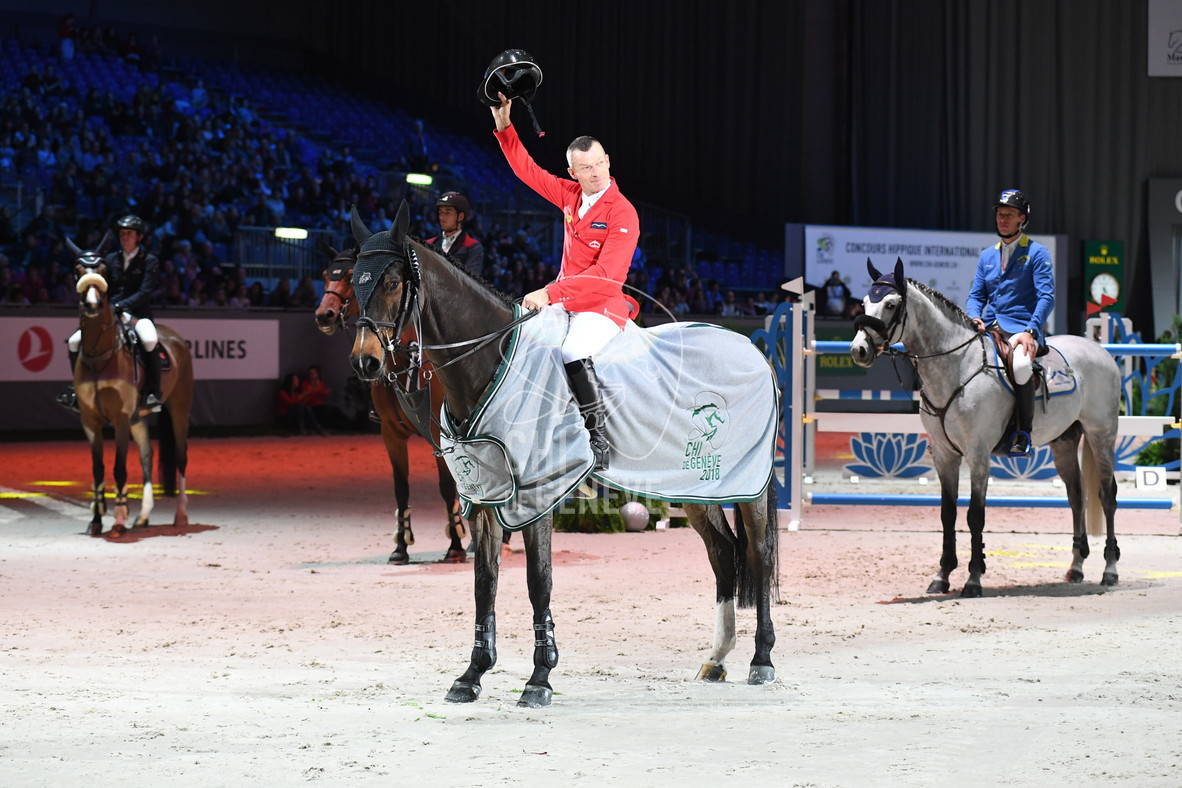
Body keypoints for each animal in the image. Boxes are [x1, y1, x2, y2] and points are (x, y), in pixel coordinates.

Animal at [314, 243, 465, 564]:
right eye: (325, 274)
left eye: (348, 276)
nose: (324, 315)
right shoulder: (391, 434)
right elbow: (401, 487)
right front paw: (401, 547)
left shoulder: (440, 436)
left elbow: (448, 486)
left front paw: (456, 545)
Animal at [345, 205, 780, 708]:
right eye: (355, 281)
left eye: (393, 283)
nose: (365, 362)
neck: (490, 359)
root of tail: (750, 347)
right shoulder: (486, 494)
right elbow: (484, 584)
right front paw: (472, 674)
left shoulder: (537, 494)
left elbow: (539, 582)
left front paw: (539, 678)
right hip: (692, 486)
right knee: (723, 553)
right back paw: (717, 658)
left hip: (748, 485)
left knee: (760, 555)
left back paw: (761, 660)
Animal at [851, 258, 1115, 597]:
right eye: (863, 302)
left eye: (891, 304)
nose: (858, 350)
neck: (957, 366)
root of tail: (1099, 350)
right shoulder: (944, 455)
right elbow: (947, 513)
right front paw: (942, 576)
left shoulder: (978, 454)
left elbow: (975, 514)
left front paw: (974, 579)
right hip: (1065, 442)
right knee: (1076, 497)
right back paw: (1076, 568)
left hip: (1101, 435)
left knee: (1107, 495)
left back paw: (1110, 570)